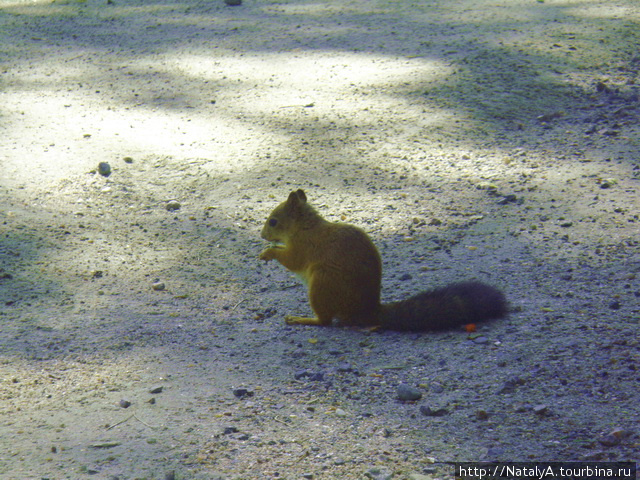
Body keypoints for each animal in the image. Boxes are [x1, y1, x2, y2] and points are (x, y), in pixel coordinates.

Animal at [258, 189, 504, 332]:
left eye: (273, 221)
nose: (262, 235)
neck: (305, 227)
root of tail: (368, 310)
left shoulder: (304, 246)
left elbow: (292, 260)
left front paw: (268, 253)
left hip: (323, 284)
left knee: (326, 321)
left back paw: (302, 320)